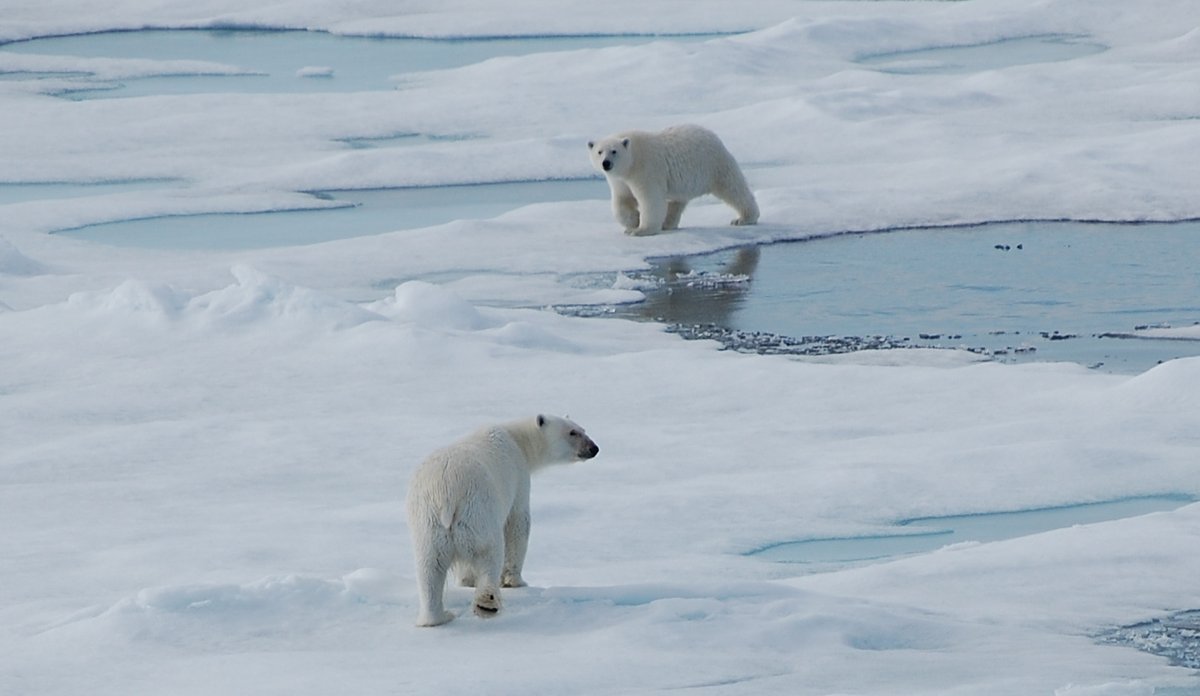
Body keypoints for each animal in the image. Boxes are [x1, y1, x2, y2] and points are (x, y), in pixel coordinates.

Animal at [408, 412, 600, 624]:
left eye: (582, 429)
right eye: (572, 432)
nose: (594, 448)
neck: (516, 438)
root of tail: (447, 494)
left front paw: (467, 581)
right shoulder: (519, 477)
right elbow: (518, 524)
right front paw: (515, 582)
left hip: (428, 523)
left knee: (429, 566)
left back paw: (438, 617)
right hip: (478, 513)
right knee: (488, 552)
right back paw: (486, 604)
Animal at [588, 123, 758, 235]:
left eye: (614, 151)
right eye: (599, 151)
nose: (606, 163)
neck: (632, 158)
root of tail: (714, 137)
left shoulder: (646, 169)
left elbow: (650, 199)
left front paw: (642, 230)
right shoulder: (620, 180)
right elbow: (622, 200)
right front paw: (633, 222)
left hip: (714, 165)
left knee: (733, 188)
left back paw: (744, 218)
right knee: (677, 202)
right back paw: (668, 224)